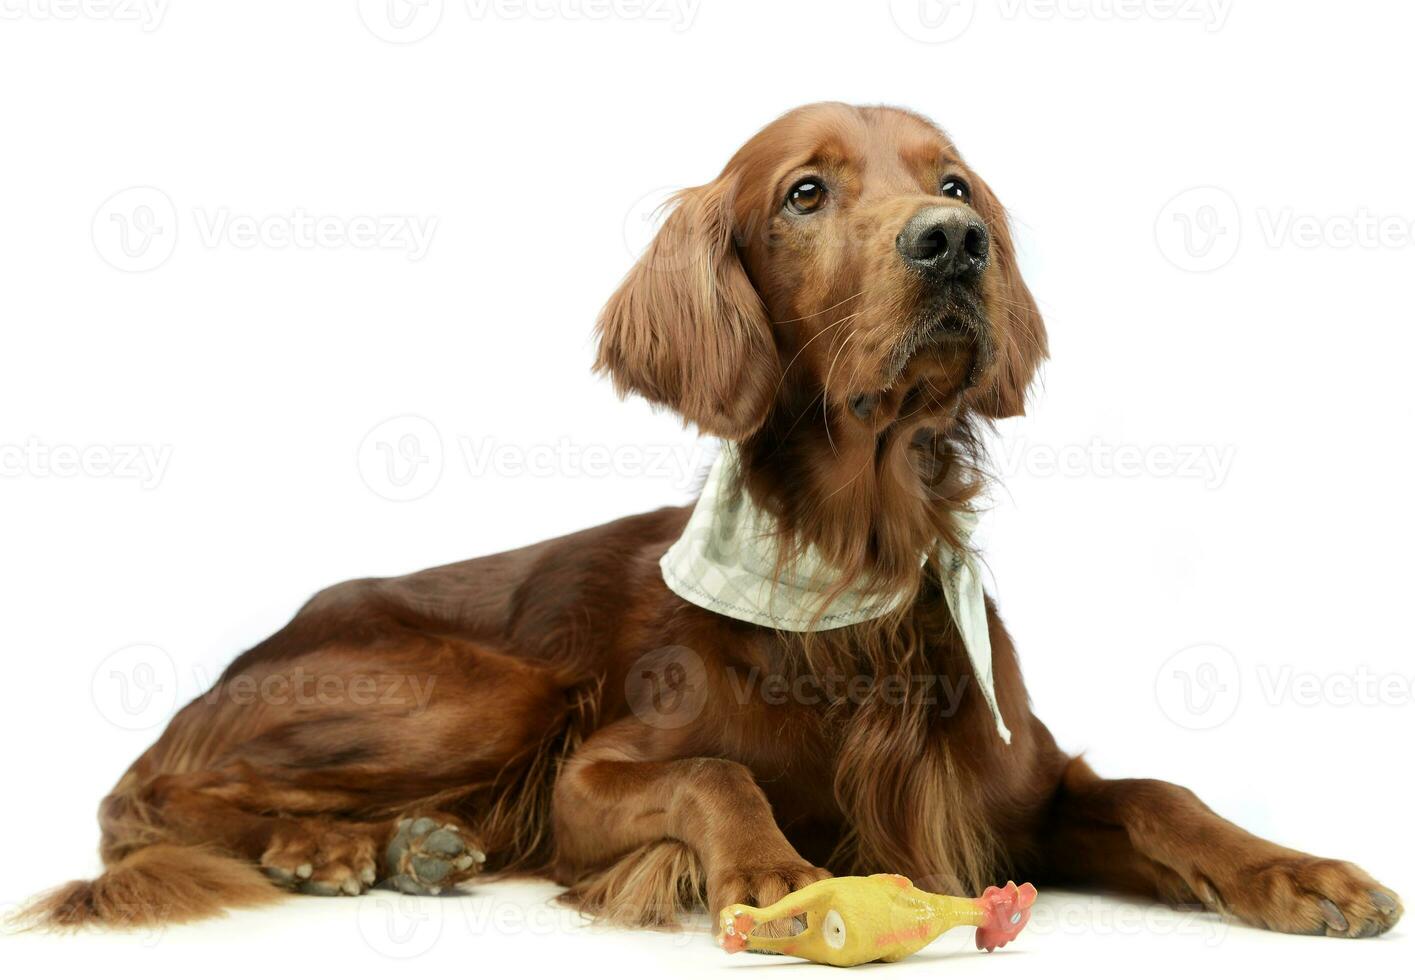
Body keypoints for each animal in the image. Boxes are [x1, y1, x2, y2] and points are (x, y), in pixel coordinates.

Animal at [24, 103, 1403, 938]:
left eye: (953, 180)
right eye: (803, 193)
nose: (953, 241)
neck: (854, 570)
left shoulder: (1016, 791)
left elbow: (1164, 789)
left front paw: (1299, 869)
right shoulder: (584, 777)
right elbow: (713, 768)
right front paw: (779, 869)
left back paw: (397, 843)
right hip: (486, 687)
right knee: (143, 792)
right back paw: (327, 847)